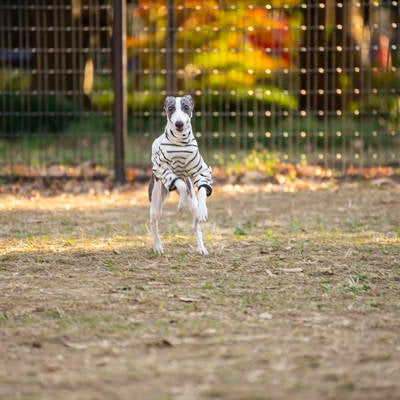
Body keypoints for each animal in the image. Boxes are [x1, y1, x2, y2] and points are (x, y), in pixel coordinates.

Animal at [148, 95, 212, 255]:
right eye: (171, 108)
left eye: (186, 107)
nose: (179, 123)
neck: (180, 142)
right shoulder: (163, 169)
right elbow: (180, 184)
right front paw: (182, 205)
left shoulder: (201, 171)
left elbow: (203, 188)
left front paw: (203, 210)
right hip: (156, 201)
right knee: (153, 222)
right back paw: (157, 246)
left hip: (192, 205)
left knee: (196, 225)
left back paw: (201, 247)